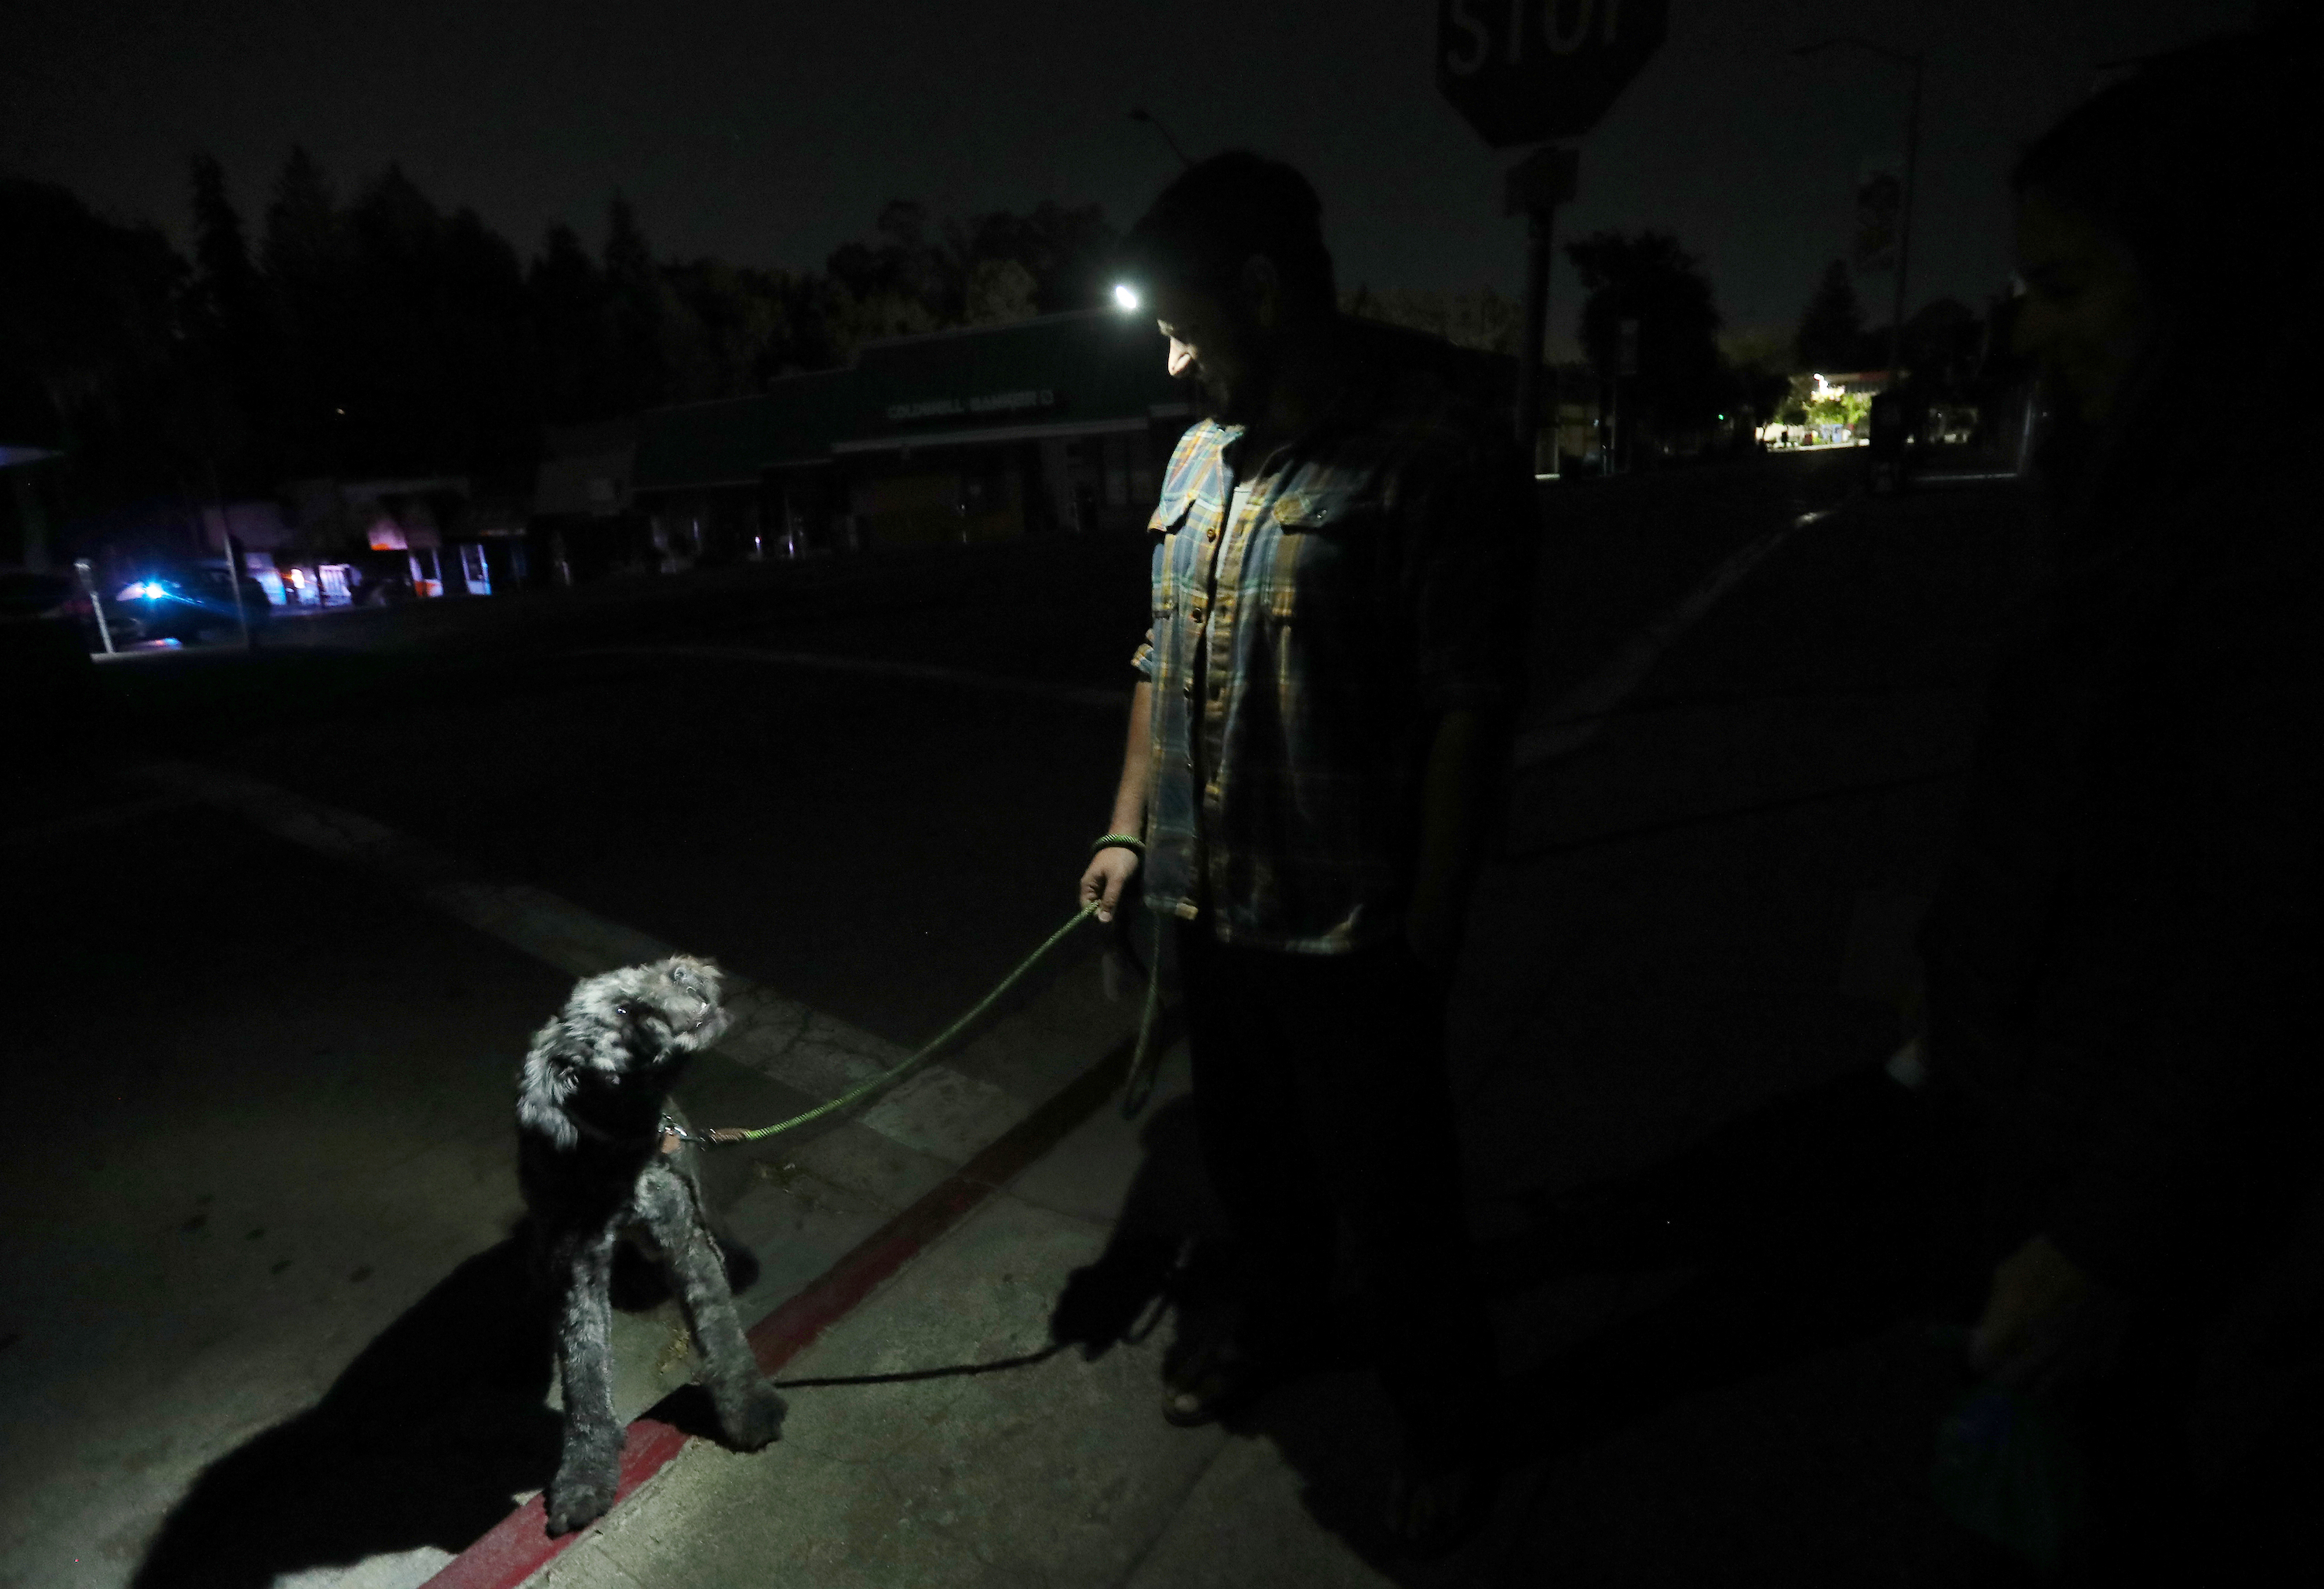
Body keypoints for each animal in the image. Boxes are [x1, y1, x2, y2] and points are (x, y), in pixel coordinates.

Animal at [521, 948, 790, 1533]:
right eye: (623, 1009)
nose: (683, 970)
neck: (617, 1145)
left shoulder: (683, 1235)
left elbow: (720, 1329)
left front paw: (749, 1406)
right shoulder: (577, 1271)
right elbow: (584, 1374)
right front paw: (585, 1474)